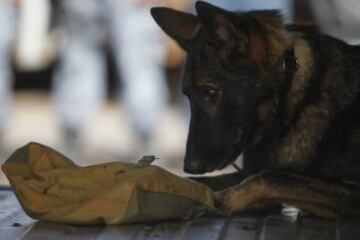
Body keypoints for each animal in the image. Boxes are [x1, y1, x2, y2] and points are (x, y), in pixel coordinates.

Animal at [150, 0, 360, 218]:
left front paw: (220, 200)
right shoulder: (246, 171)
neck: (294, 107)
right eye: (187, 96)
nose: (189, 166)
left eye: (210, 91)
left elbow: (270, 177)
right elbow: (203, 182)